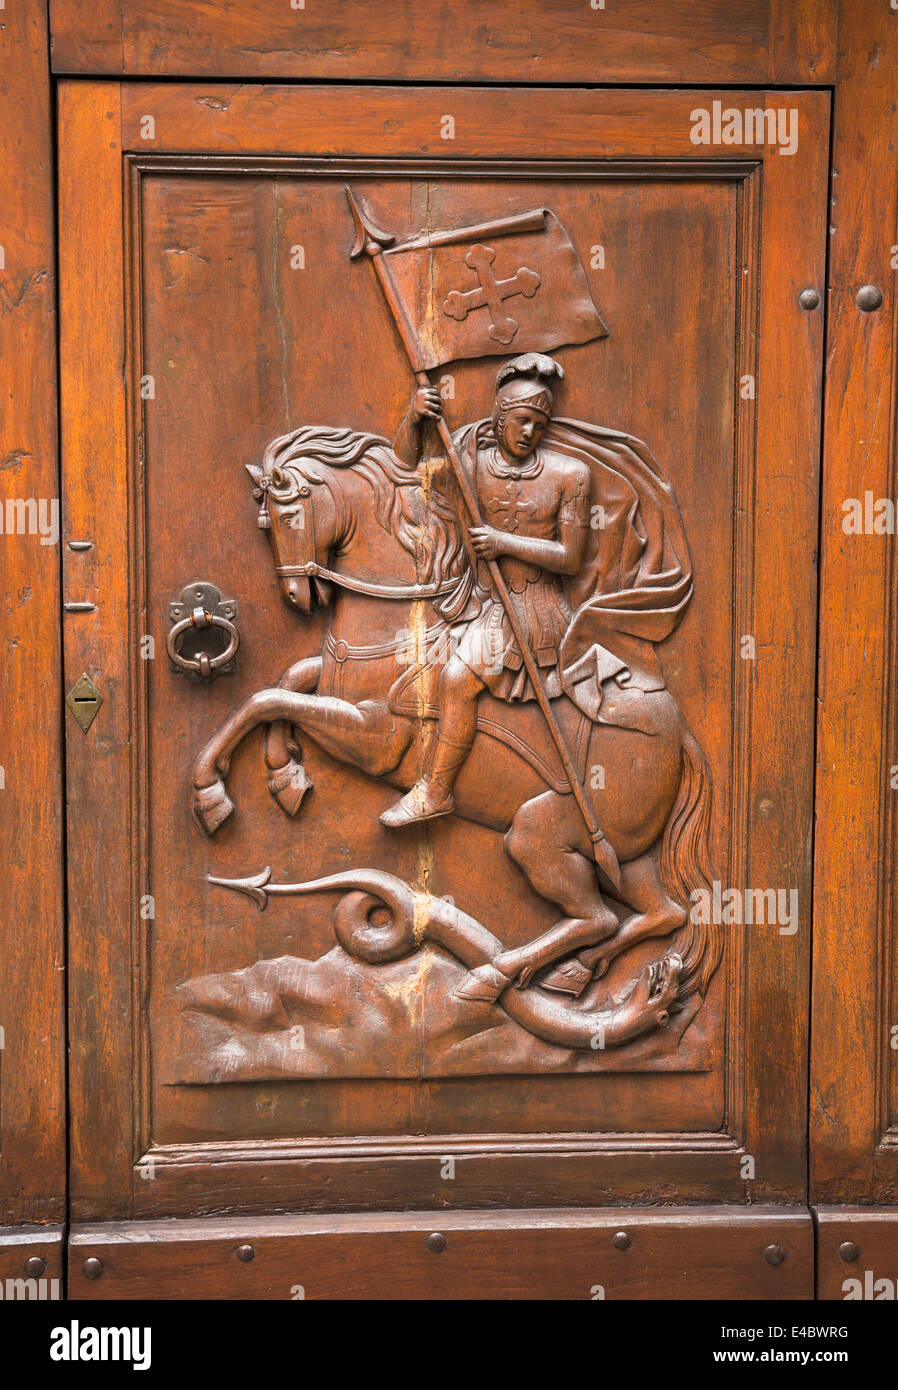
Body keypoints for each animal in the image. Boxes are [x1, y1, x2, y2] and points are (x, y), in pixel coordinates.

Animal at [191, 422, 722, 1011]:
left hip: (541, 832)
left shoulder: (372, 738)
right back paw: (576, 972)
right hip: (622, 853)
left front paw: (211, 796)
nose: (295, 595)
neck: (405, 628)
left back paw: (498, 973)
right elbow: (286, 681)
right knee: (658, 912)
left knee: (599, 917)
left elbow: (266, 699)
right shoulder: (333, 687)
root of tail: (679, 733)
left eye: (287, 516)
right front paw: (285, 776)